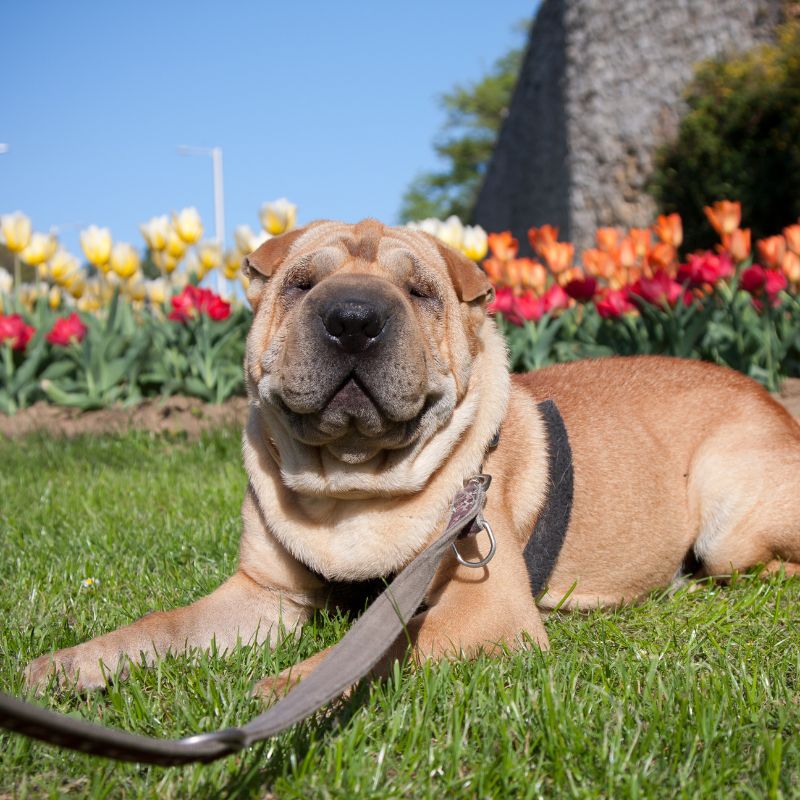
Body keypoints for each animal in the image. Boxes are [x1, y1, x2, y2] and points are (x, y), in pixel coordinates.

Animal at [23, 217, 800, 692]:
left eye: (421, 292)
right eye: (302, 284)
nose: (353, 318)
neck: (351, 487)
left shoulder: (485, 611)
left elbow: (382, 646)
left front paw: (289, 686)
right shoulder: (263, 595)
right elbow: (164, 626)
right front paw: (70, 665)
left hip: (729, 520)